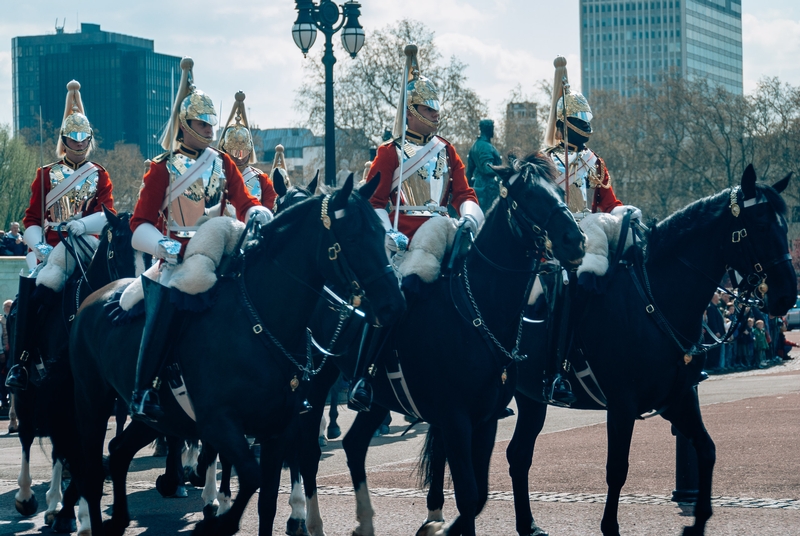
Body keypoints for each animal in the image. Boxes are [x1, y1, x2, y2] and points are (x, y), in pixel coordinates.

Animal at [9, 207, 138, 532]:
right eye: (118, 249)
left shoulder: (91, 395)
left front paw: (74, 512)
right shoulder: (66, 391)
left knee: (58, 446)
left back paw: (55, 503)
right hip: (27, 388)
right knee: (27, 434)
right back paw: (27, 496)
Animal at [69, 176, 406, 536]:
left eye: (382, 234)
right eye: (354, 237)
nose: (395, 303)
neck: (260, 321)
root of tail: (94, 298)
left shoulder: (278, 427)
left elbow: (267, 500)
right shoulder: (219, 422)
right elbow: (250, 475)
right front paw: (218, 513)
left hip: (157, 416)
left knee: (118, 452)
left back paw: (122, 516)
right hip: (92, 403)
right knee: (93, 470)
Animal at [290, 152, 584, 536]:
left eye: (558, 191)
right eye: (529, 195)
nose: (575, 240)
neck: (476, 309)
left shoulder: (485, 419)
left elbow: (480, 494)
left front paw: (439, 526)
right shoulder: (456, 418)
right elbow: (469, 494)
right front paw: (441, 525)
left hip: (379, 395)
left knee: (354, 445)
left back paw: (364, 522)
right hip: (316, 381)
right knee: (308, 452)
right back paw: (311, 522)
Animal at [424, 165, 792, 532]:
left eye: (785, 225)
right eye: (761, 225)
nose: (787, 295)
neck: (653, 298)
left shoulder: (677, 399)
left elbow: (707, 449)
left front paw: (698, 522)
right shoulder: (622, 404)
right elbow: (617, 469)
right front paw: (610, 527)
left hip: (530, 398)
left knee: (517, 455)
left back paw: (526, 524)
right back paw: (437, 515)